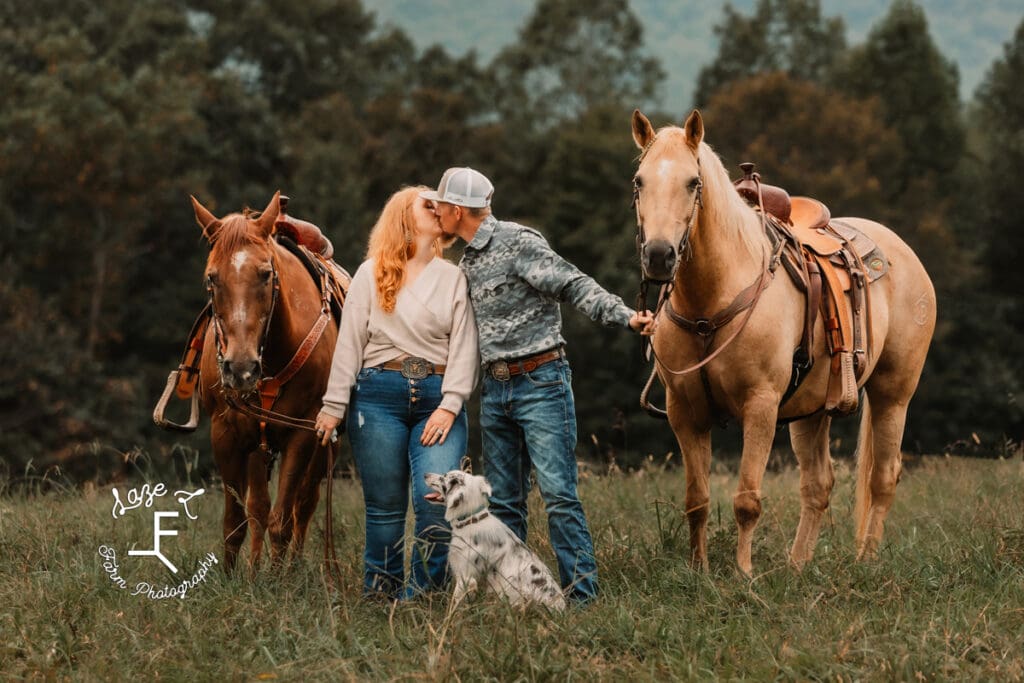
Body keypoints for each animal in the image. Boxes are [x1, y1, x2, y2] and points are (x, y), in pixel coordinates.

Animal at [190, 192, 337, 573]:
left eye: (266, 273)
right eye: (211, 278)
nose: (240, 368)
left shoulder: (303, 433)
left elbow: (282, 520)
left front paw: (277, 579)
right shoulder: (225, 433)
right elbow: (237, 521)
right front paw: (232, 578)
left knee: (305, 503)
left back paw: (292, 567)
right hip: (258, 442)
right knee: (257, 507)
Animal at [423, 473, 569, 610]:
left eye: (443, 477)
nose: (425, 475)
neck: (471, 519)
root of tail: (561, 607)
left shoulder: (466, 578)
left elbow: (454, 607)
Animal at [626, 109, 933, 573]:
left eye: (693, 183)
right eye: (639, 181)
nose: (659, 256)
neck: (711, 300)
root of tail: (905, 253)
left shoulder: (761, 405)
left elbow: (746, 500)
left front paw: (743, 573)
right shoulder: (684, 413)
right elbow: (697, 501)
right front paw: (699, 571)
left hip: (893, 393)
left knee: (882, 477)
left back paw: (865, 561)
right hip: (813, 409)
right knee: (818, 484)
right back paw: (797, 566)